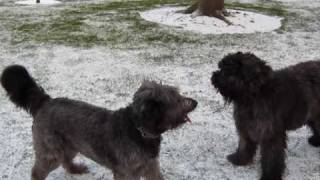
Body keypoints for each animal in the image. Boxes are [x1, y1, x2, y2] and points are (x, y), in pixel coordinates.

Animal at [0, 65, 198, 180]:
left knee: (65, 160)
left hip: (70, 145)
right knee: (37, 172)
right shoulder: (126, 172)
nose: (195, 102)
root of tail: (45, 101)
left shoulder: (150, 166)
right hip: (50, 151)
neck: (138, 129)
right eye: (177, 99)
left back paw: (75, 169)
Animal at [212, 51, 320, 179]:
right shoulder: (246, 127)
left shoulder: (270, 135)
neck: (256, 93)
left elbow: (271, 158)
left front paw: (270, 176)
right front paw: (240, 159)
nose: (213, 77)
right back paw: (317, 141)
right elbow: (244, 145)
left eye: (227, 71)